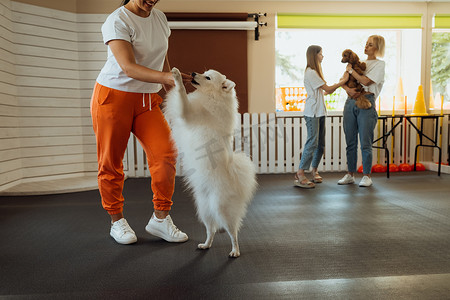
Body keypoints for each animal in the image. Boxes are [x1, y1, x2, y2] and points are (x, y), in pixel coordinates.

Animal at [164, 68, 256, 258]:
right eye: (203, 72)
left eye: (207, 77)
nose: (192, 73)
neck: (212, 96)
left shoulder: (188, 113)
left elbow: (181, 94)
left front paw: (177, 78)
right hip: (204, 210)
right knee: (211, 230)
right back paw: (206, 244)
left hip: (222, 209)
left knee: (233, 232)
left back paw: (235, 251)